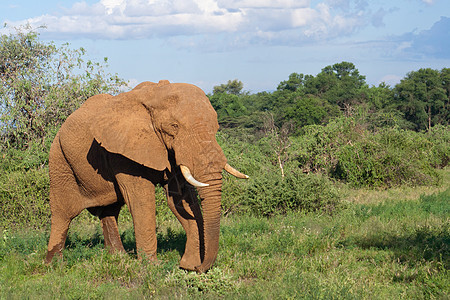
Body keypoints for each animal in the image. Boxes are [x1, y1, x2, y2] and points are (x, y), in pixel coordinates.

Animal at [44, 79, 250, 272]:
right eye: (174, 126)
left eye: (216, 127)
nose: (200, 268)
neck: (154, 94)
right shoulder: (123, 151)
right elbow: (142, 201)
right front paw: (153, 267)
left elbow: (179, 198)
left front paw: (187, 266)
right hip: (59, 159)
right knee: (64, 213)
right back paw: (54, 265)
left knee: (109, 210)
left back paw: (119, 258)